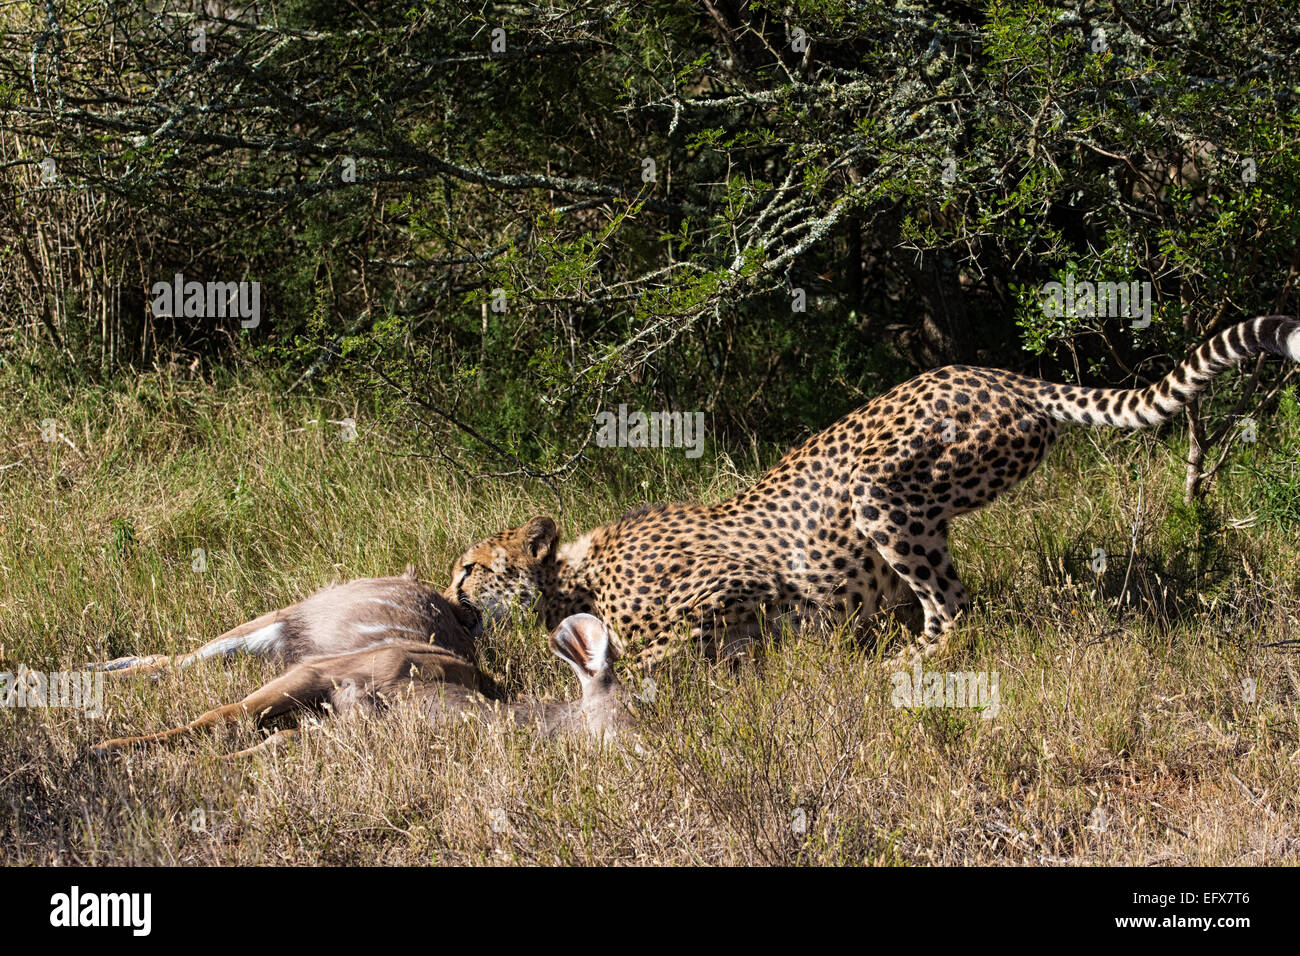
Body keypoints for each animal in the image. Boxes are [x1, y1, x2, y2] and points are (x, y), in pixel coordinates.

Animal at [447, 316, 1300, 665]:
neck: (573, 576)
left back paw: (896, 666)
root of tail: (997, 372)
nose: (447, 593)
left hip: (884, 492)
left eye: (470, 567)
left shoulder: (738, 587)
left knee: (953, 607)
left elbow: (660, 642)